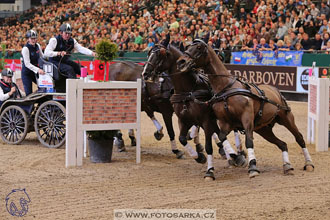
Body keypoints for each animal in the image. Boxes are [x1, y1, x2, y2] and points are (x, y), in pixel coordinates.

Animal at [142, 43, 245, 180]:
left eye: (160, 54)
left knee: (230, 131)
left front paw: (210, 169)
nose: (145, 74)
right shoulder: (184, 119)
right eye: (149, 54)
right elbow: (182, 138)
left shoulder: (205, 120)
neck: (188, 91)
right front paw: (199, 157)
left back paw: (237, 153)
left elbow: (208, 145)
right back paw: (232, 155)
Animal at [178, 39, 314, 177]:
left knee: (299, 138)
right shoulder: (226, 122)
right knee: (282, 144)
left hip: (286, 119)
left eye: (198, 48)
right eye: (188, 47)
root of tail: (275, 90)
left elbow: (249, 141)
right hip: (263, 129)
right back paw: (287, 166)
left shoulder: (246, 117)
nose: (181, 61)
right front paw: (235, 157)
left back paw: (308, 163)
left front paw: (252, 166)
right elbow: (222, 137)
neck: (226, 88)